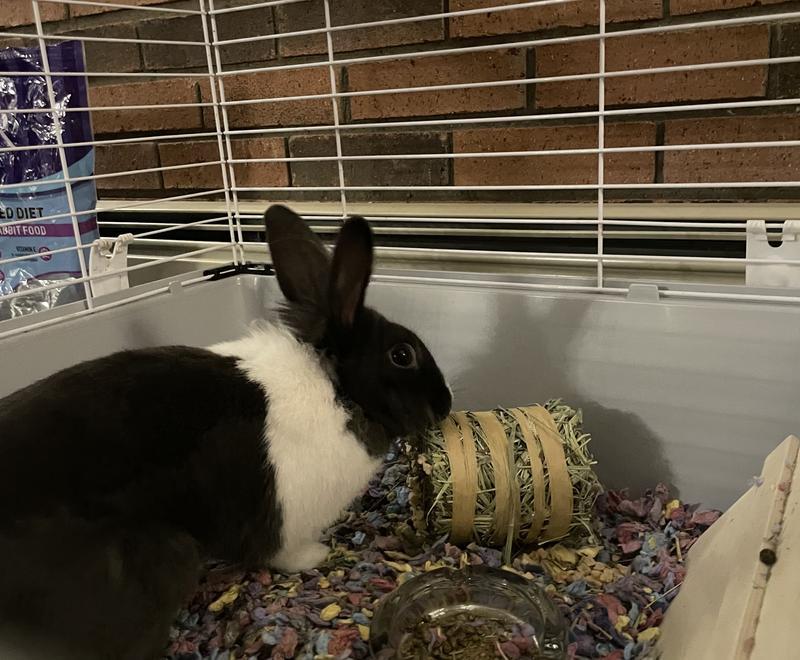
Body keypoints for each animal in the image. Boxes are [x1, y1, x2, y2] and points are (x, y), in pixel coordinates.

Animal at [0, 204, 454, 656]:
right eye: (402, 355)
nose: (447, 402)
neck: (336, 387)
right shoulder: (285, 521)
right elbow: (283, 552)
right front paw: (317, 555)